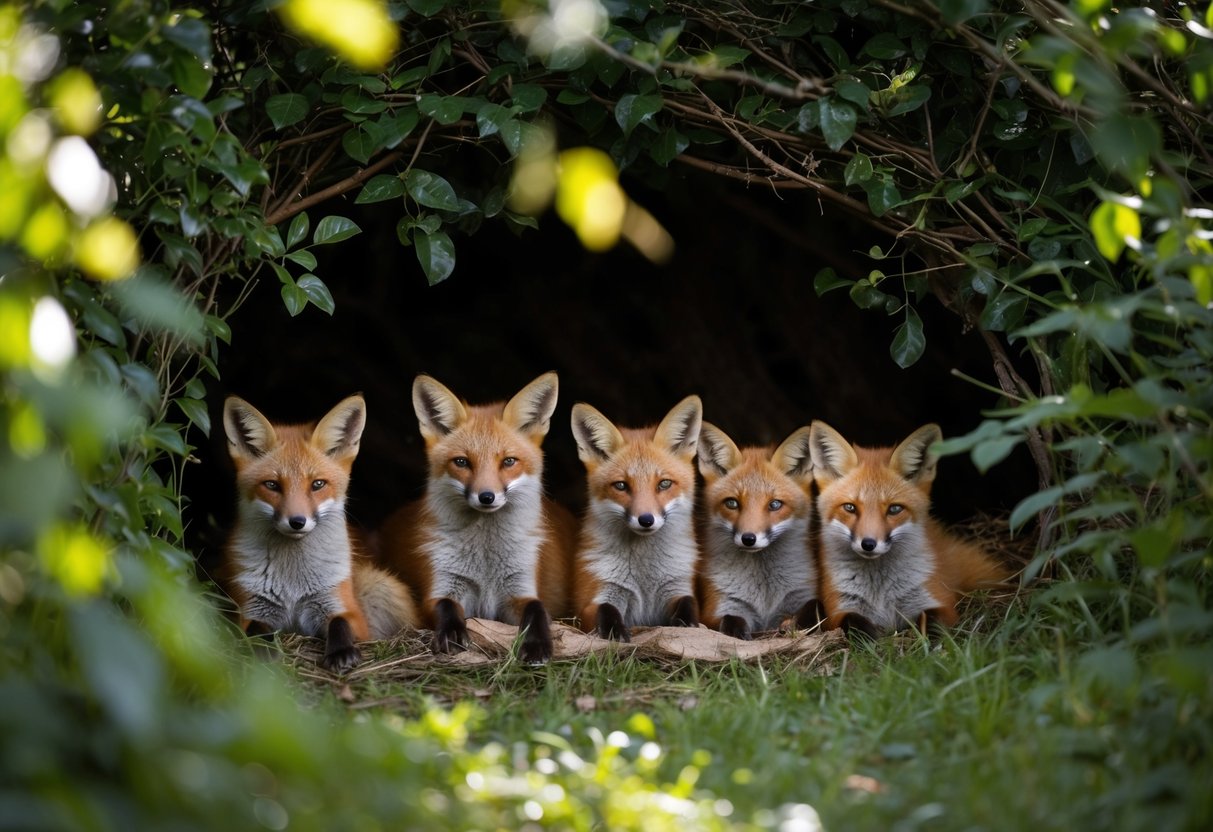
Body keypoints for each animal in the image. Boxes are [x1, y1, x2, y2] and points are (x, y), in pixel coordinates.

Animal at [221, 394, 418, 672]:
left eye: (317, 484)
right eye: (272, 485)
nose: (297, 522)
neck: (292, 584)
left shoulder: (343, 608)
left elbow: (340, 623)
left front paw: (342, 652)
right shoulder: (247, 608)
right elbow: (256, 628)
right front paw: (264, 650)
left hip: (377, 584)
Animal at [376, 372, 576, 665]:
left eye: (508, 461)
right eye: (461, 462)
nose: (486, 497)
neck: (485, 562)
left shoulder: (520, 587)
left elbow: (537, 609)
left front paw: (537, 644)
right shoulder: (440, 586)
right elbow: (445, 606)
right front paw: (452, 633)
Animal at [571, 395, 703, 642]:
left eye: (664, 484)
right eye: (621, 486)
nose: (646, 520)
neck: (645, 578)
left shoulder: (677, 587)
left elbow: (689, 604)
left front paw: (687, 624)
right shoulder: (593, 597)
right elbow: (605, 609)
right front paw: (615, 631)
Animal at [696, 423, 824, 641]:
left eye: (774, 504)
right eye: (732, 503)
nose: (749, 538)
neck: (764, 594)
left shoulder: (801, 594)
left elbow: (815, 606)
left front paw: (794, 624)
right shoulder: (719, 605)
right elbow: (729, 619)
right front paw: (738, 631)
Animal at [809, 420, 1010, 638]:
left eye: (894, 509)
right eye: (850, 507)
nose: (868, 544)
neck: (880, 592)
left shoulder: (938, 601)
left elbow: (935, 624)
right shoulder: (837, 610)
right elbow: (852, 623)